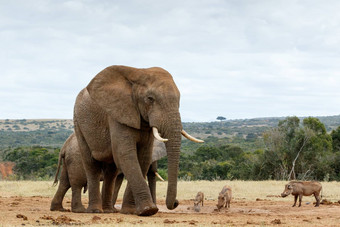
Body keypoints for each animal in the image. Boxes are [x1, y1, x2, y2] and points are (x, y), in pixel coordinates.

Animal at [73, 65, 202, 216]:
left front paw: (131, 211)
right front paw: (149, 210)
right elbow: (126, 154)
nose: (176, 203)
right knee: (91, 164)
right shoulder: (118, 113)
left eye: (179, 99)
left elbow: (143, 157)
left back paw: (109, 211)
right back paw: (95, 211)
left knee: (111, 171)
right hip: (79, 122)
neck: (138, 73)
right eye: (150, 99)